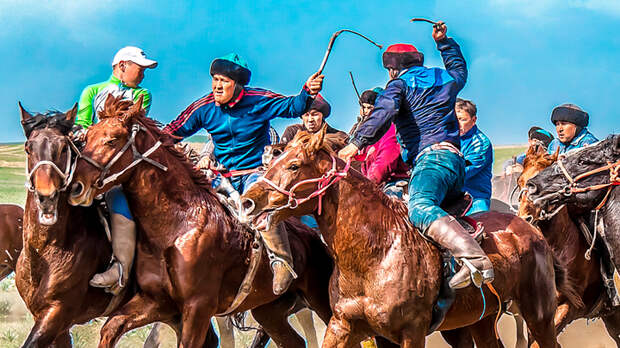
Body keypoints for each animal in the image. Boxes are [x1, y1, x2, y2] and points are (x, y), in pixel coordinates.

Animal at [16, 105, 131, 348]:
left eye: (63, 148)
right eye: (28, 148)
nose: (46, 197)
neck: (46, 250)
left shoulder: (57, 312)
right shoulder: (52, 321)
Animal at [68, 94, 334, 346]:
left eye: (112, 139)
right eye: (86, 138)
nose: (75, 187)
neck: (178, 226)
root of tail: (313, 235)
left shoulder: (198, 309)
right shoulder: (157, 301)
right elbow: (111, 328)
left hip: (320, 299)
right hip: (268, 310)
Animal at [239, 126, 576, 346]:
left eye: (294, 165)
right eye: (274, 160)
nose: (247, 201)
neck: (378, 252)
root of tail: (530, 230)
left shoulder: (411, 333)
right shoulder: (343, 325)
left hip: (539, 314)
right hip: (481, 319)